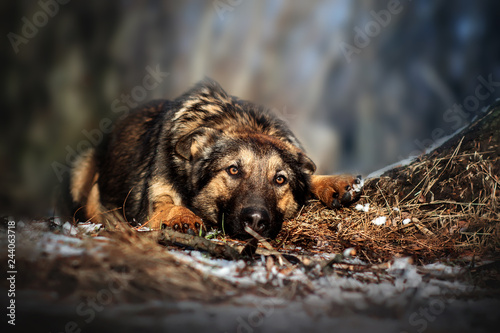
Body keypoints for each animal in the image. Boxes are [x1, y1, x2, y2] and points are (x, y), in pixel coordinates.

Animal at [70, 79, 362, 237]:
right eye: (233, 170)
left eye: (280, 179)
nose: (256, 221)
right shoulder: (151, 205)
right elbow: (168, 205)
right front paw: (183, 217)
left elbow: (310, 175)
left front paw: (334, 182)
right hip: (80, 168)